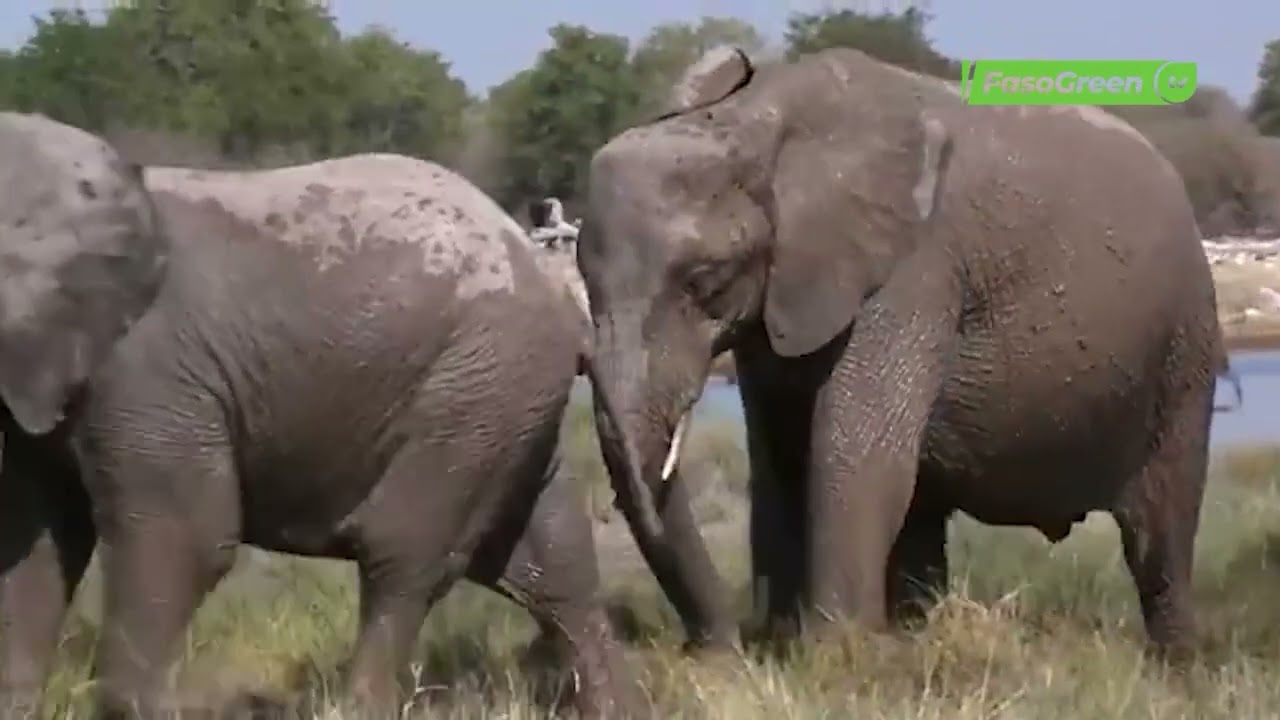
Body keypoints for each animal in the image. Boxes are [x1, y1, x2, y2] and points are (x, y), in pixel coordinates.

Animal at [0, 151, 643, 718]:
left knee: (404, 553)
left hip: (478, 384)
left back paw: (359, 707)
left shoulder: (145, 367)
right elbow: (38, 544)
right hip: (506, 400)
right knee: (551, 563)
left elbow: (186, 535)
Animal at [576, 45, 1236, 657]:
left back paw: (1176, 669)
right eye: (582, 276)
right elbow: (779, 454)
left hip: (1185, 345)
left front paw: (834, 657)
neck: (755, 119)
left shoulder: (914, 269)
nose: (715, 649)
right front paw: (787, 644)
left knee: (1160, 532)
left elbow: (856, 453)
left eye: (704, 280)